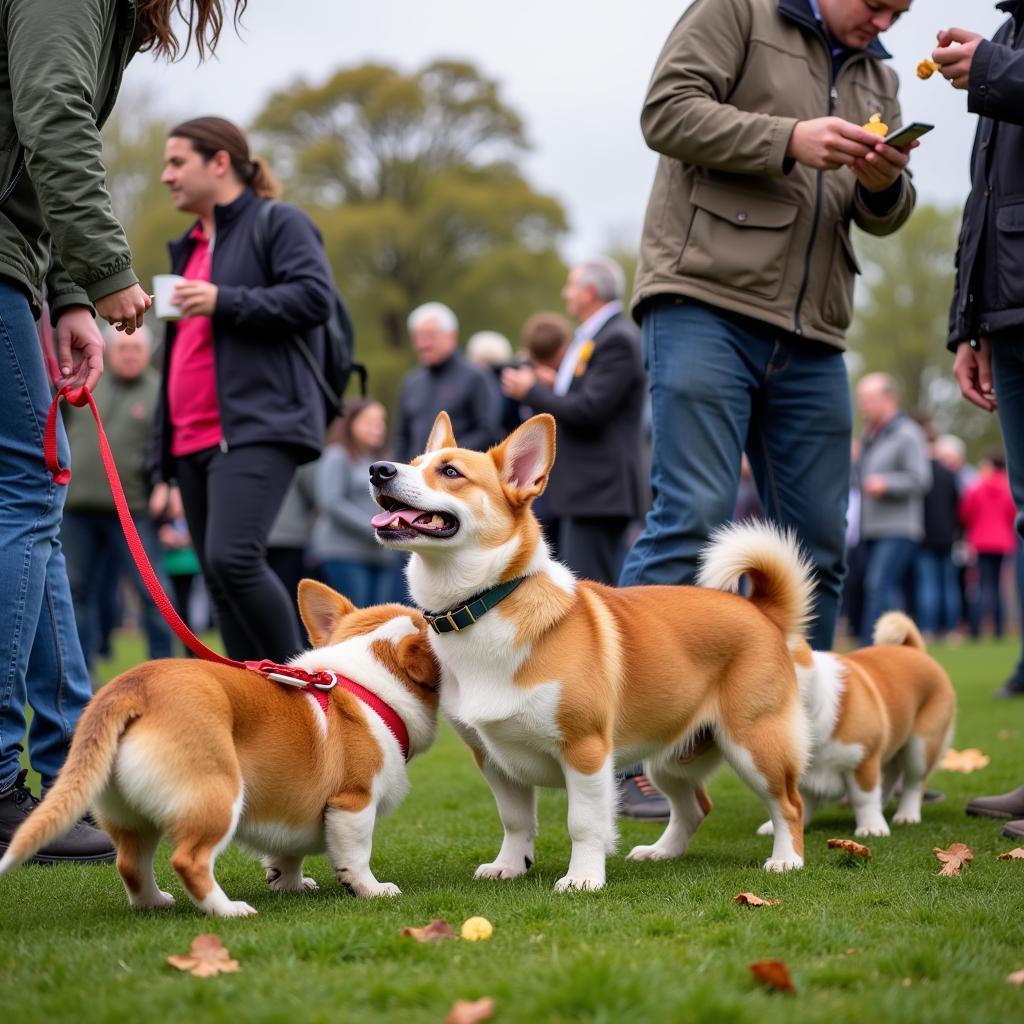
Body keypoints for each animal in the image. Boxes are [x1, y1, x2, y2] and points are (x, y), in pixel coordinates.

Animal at [0, 581, 440, 917]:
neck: (366, 685)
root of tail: (131, 689)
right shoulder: (353, 803)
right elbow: (357, 855)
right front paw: (372, 889)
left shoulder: (295, 808)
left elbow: (289, 854)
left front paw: (289, 883)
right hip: (217, 795)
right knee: (188, 860)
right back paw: (228, 910)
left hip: (128, 816)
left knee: (130, 863)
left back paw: (154, 903)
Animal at [370, 411, 815, 892]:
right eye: (414, 461)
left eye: (450, 472)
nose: (378, 469)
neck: (485, 604)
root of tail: (761, 609)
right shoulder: (493, 760)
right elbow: (515, 821)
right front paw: (509, 865)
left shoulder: (585, 751)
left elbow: (583, 824)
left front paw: (582, 877)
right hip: (670, 758)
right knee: (696, 806)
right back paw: (662, 852)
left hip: (755, 744)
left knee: (789, 804)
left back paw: (787, 859)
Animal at [753, 606, 958, 839]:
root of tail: (914, 650)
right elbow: (799, 801)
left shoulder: (864, 761)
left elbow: (864, 798)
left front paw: (871, 828)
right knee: (891, 775)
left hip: (920, 747)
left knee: (914, 783)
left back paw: (907, 815)